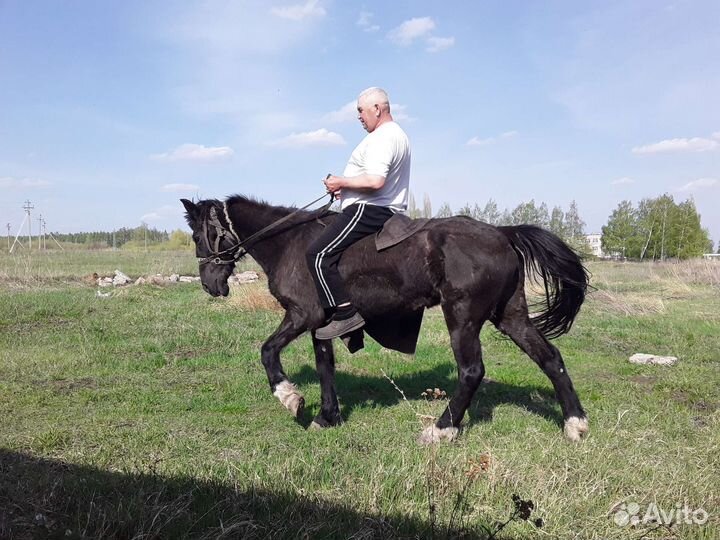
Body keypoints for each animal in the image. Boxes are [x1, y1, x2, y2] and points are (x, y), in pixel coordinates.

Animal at [181, 195, 590, 444]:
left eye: (198, 235)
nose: (209, 284)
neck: (289, 242)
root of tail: (503, 233)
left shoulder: (302, 314)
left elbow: (267, 351)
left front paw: (290, 397)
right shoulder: (322, 323)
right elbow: (324, 366)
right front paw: (327, 416)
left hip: (463, 317)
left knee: (472, 371)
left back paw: (441, 429)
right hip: (510, 314)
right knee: (550, 358)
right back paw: (575, 423)